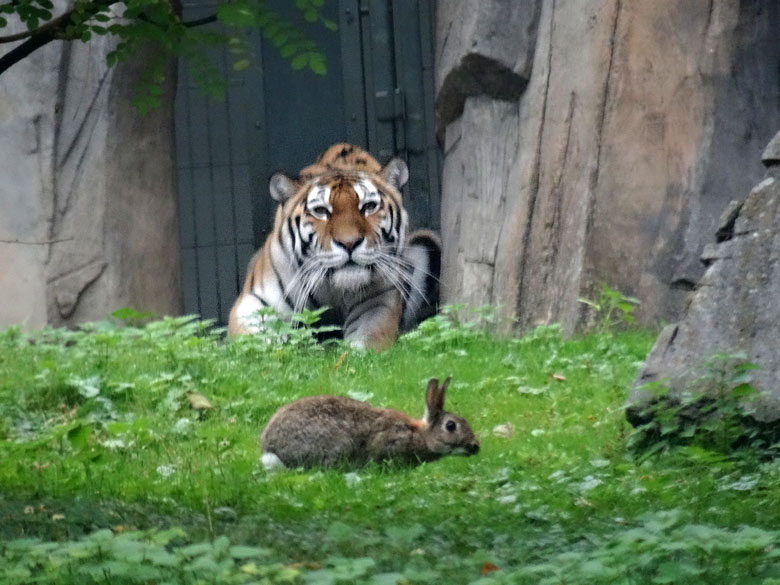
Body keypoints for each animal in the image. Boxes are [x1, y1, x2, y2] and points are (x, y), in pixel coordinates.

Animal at [229, 143, 442, 350]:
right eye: (321, 211)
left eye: (369, 206)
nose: (349, 243)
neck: (331, 289)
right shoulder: (255, 301)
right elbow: (254, 343)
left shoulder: (377, 303)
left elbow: (366, 341)